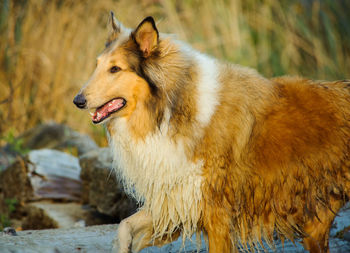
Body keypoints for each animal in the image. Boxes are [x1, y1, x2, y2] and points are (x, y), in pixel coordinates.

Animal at [73, 11, 350, 253]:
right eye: (97, 65)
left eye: (115, 69)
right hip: (316, 224)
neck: (171, 112)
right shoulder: (176, 201)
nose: (77, 101)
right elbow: (123, 227)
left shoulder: (216, 217)